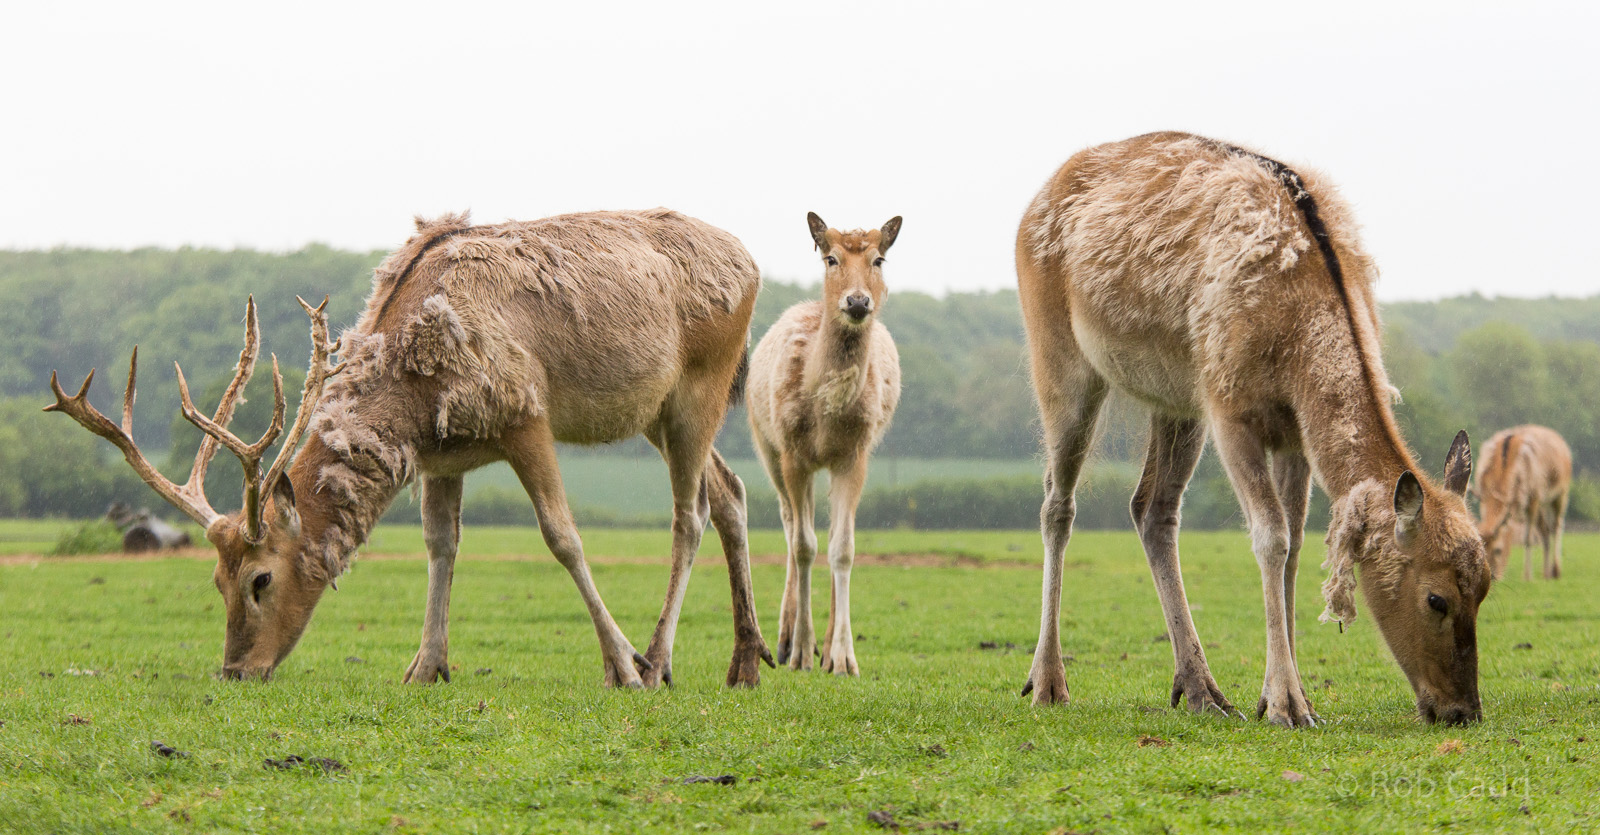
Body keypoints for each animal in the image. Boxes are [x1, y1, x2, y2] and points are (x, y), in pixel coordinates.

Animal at [45, 209, 774, 689]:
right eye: (215, 579)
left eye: (260, 578)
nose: (235, 670)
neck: (413, 398)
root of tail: (753, 261)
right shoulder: (442, 455)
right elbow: (441, 545)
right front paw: (426, 666)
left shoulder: (526, 412)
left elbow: (562, 536)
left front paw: (620, 665)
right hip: (657, 411)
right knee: (732, 490)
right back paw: (746, 661)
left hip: (702, 384)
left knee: (689, 514)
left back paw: (660, 660)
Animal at [746, 213, 902, 675]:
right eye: (831, 258)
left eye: (879, 259)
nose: (857, 301)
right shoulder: (793, 453)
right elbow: (803, 546)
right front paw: (800, 651)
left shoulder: (855, 455)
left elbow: (842, 549)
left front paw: (844, 657)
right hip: (766, 446)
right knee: (788, 523)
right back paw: (785, 640)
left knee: (831, 531)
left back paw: (829, 644)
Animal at [1015, 132, 1490, 727]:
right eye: (1436, 599)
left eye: (1487, 588)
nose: (1462, 710)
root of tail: (1035, 202)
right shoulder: (1230, 408)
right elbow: (1271, 536)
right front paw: (1287, 703)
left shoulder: (1293, 432)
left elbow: (1297, 543)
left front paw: (1291, 697)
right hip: (1059, 358)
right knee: (1057, 504)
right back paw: (1047, 682)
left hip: (1177, 399)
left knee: (1152, 508)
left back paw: (1201, 689)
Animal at [1474, 425, 1571, 581]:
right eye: (1480, 550)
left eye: (1498, 550)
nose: (1493, 576)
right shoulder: (1483, 499)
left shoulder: (1534, 497)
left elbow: (1528, 538)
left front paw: (1527, 576)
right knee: (1545, 530)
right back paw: (1546, 574)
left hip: (1561, 492)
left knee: (1557, 526)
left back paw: (1556, 571)